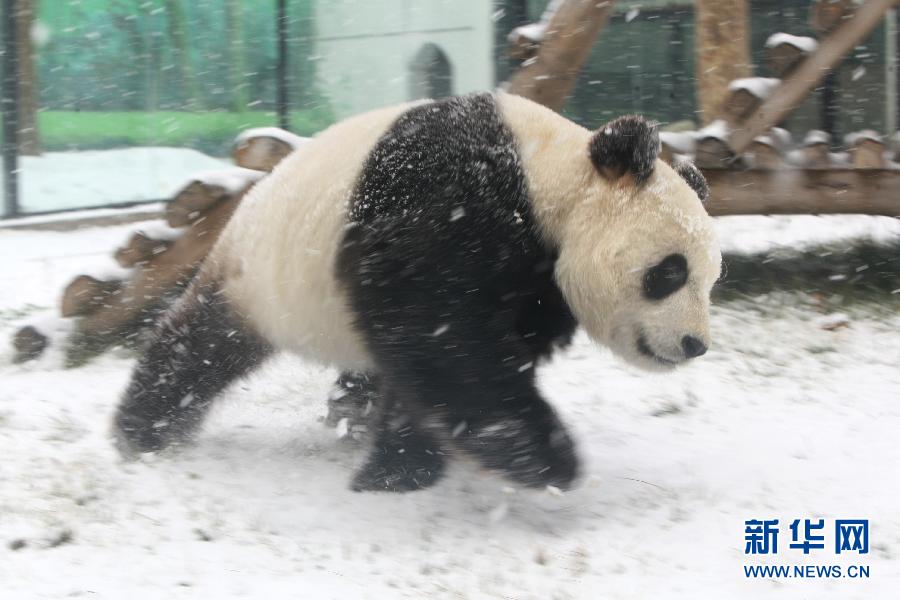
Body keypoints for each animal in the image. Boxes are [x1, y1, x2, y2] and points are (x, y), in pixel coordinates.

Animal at [112, 92, 720, 492]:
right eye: (669, 272)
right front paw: (547, 458)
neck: (550, 177)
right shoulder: (446, 200)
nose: (695, 344)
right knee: (201, 347)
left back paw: (350, 406)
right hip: (259, 276)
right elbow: (443, 335)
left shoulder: (538, 284)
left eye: (711, 278)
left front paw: (397, 463)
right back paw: (141, 430)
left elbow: (439, 363)